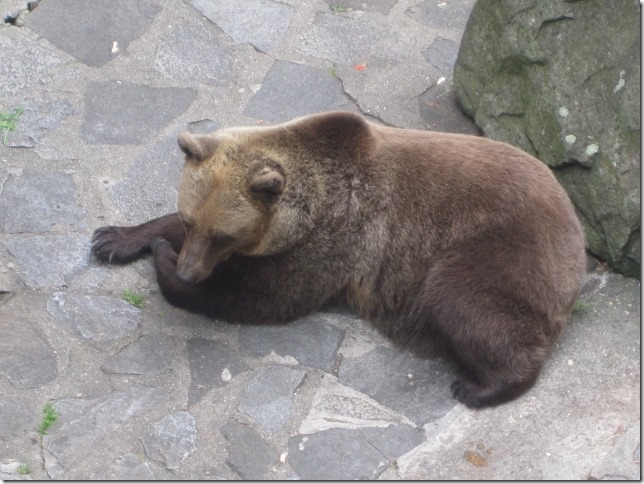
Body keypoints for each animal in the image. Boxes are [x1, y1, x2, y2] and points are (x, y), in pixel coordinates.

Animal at [93, 110, 588, 408]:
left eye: (222, 234)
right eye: (190, 216)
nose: (190, 270)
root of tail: (575, 233)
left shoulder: (337, 238)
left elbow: (263, 296)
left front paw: (166, 264)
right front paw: (116, 238)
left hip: (502, 252)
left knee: (465, 301)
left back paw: (479, 385)